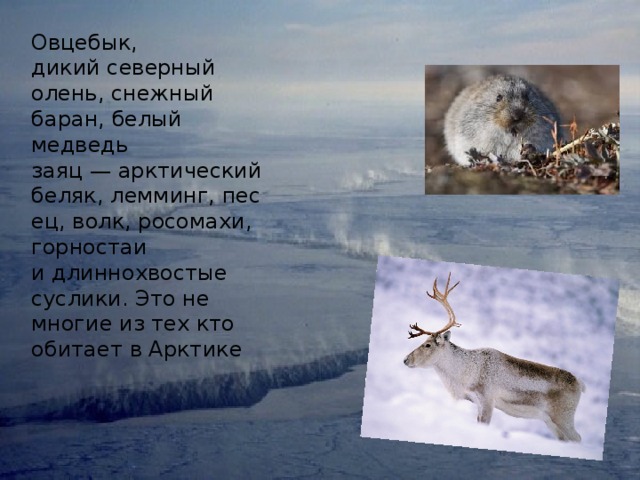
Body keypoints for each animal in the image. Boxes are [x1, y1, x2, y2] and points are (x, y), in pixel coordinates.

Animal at [403, 273, 585, 442]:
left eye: (428, 345)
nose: (405, 359)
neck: (466, 372)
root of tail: (580, 384)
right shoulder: (477, 402)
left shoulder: (487, 400)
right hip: (551, 422)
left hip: (563, 418)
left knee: (578, 438)